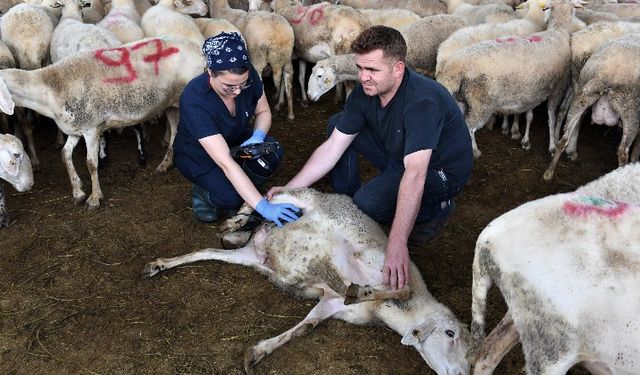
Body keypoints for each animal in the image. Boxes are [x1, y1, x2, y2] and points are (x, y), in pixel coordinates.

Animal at [0, 36, 205, 210]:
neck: (50, 91)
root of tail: (198, 48)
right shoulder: (75, 129)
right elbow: (65, 155)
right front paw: (78, 191)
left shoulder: (91, 128)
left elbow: (91, 163)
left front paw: (94, 198)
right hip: (171, 105)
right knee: (175, 132)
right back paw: (164, 165)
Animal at [146, 189, 476, 375]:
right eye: (450, 333)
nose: (461, 374)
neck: (385, 311)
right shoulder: (374, 261)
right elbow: (395, 287)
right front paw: (361, 290)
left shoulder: (331, 303)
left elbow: (306, 326)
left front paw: (258, 352)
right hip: (295, 197)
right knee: (263, 196)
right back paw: (235, 222)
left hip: (250, 256)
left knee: (209, 251)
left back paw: (161, 263)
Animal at [544, 32, 640, 181]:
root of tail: (606, 76)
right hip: (631, 111)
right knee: (623, 152)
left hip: (581, 97)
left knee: (563, 139)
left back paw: (549, 172)